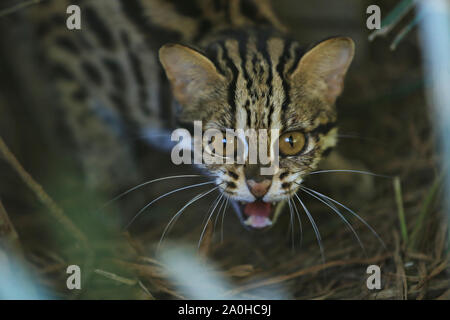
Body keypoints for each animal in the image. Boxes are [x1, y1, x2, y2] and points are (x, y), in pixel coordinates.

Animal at [25, 0, 380, 248]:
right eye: (223, 142)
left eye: (292, 142)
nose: (259, 186)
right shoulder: (62, 44)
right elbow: (87, 121)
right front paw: (112, 185)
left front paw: (341, 174)